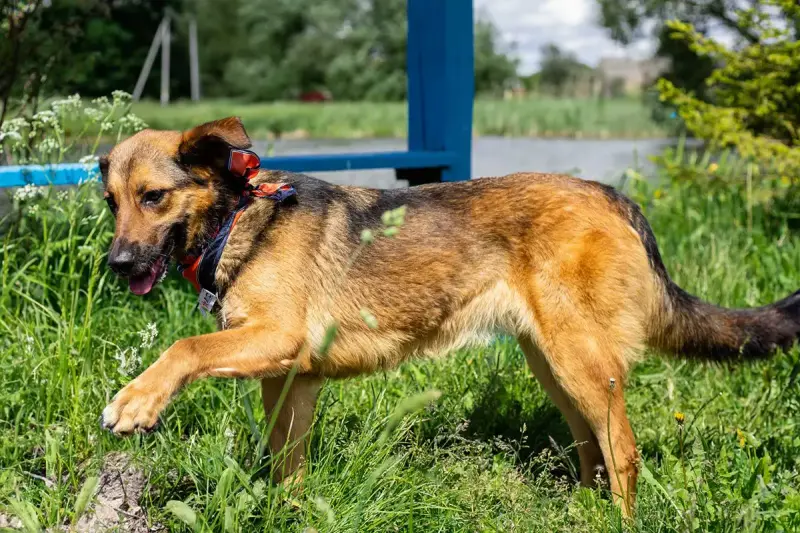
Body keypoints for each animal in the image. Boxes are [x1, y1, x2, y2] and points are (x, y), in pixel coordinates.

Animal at [98, 117, 800, 516]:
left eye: (153, 197)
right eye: (110, 202)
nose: (117, 262)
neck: (240, 219)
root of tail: (611, 196)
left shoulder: (276, 339)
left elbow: (186, 348)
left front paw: (137, 400)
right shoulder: (289, 378)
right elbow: (285, 469)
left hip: (580, 365)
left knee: (623, 454)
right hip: (556, 367)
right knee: (591, 450)